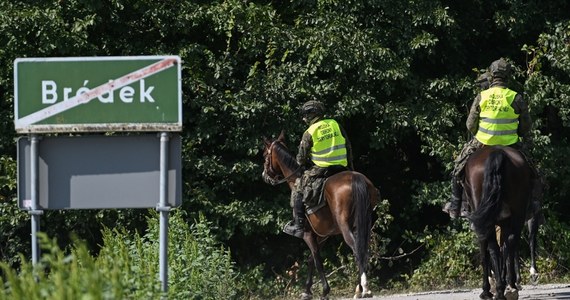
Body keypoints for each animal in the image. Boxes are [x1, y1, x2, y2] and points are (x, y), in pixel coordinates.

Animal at [260, 132, 378, 300]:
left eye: (265, 155)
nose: (264, 175)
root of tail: (356, 179)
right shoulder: (323, 236)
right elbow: (311, 259)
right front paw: (307, 290)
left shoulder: (308, 234)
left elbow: (317, 260)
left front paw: (324, 291)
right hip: (364, 223)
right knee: (363, 249)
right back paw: (359, 289)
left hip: (345, 226)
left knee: (356, 249)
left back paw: (364, 287)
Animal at [464, 144, 532, 298]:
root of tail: (497, 153)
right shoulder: (504, 222)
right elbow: (505, 248)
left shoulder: (481, 224)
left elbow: (485, 254)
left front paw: (487, 289)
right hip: (518, 211)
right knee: (510, 242)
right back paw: (510, 287)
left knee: (493, 247)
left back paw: (499, 289)